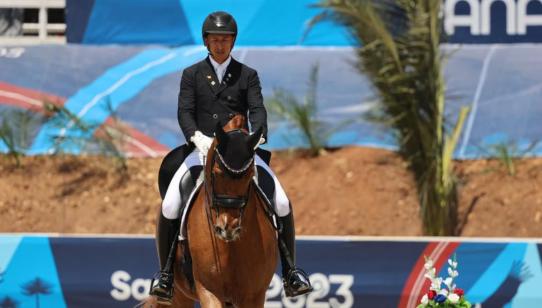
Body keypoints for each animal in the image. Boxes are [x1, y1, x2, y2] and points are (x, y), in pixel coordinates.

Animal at [147, 115, 278, 306]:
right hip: (179, 294)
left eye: (250, 175)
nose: (227, 227)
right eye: (216, 173)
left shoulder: (254, 295)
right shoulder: (209, 291)